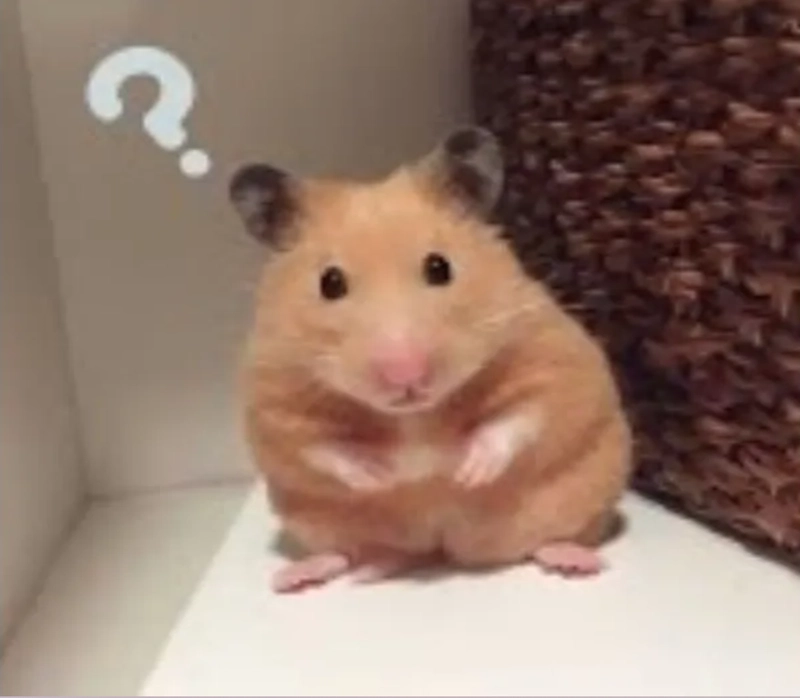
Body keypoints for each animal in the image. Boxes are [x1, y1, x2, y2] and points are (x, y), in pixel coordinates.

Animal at [229, 127, 632, 593]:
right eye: (330, 282)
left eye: (439, 267)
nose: (405, 373)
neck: (414, 415)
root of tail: (443, 545)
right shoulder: (272, 405)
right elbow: (323, 448)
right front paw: (382, 475)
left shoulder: (553, 361)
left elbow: (520, 417)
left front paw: (466, 471)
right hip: (318, 524)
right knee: (360, 554)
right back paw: (313, 575)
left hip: (582, 496)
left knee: (545, 542)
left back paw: (575, 560)